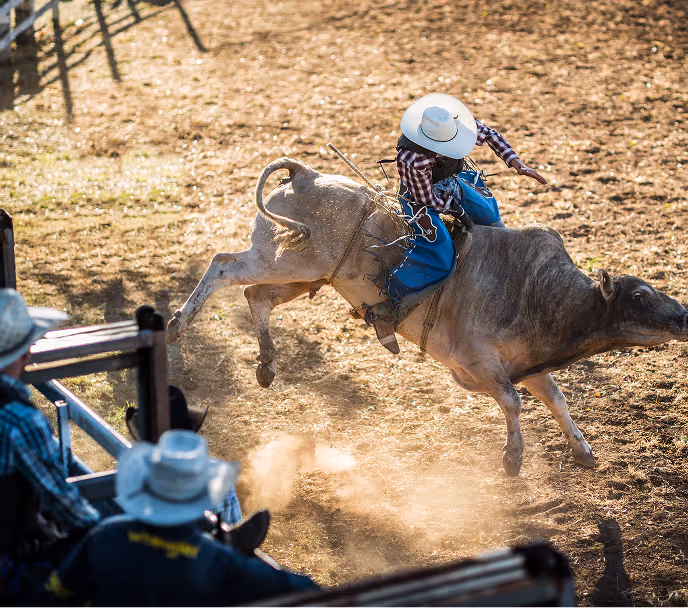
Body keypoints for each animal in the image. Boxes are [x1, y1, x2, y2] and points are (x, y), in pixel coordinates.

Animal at [167, 158, 688, 476]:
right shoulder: (478, 362)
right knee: (224, 265)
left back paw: (267, 363)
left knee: (256, 296)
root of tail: (305, 174)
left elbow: (555, 400)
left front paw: (583, 451)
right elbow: (512, 402)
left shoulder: (528, 364)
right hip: (282, 260)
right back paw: (176, 325)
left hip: (304, 276)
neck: (536, 293)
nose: (682, 317)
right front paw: (513, 458)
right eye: (640, 296)